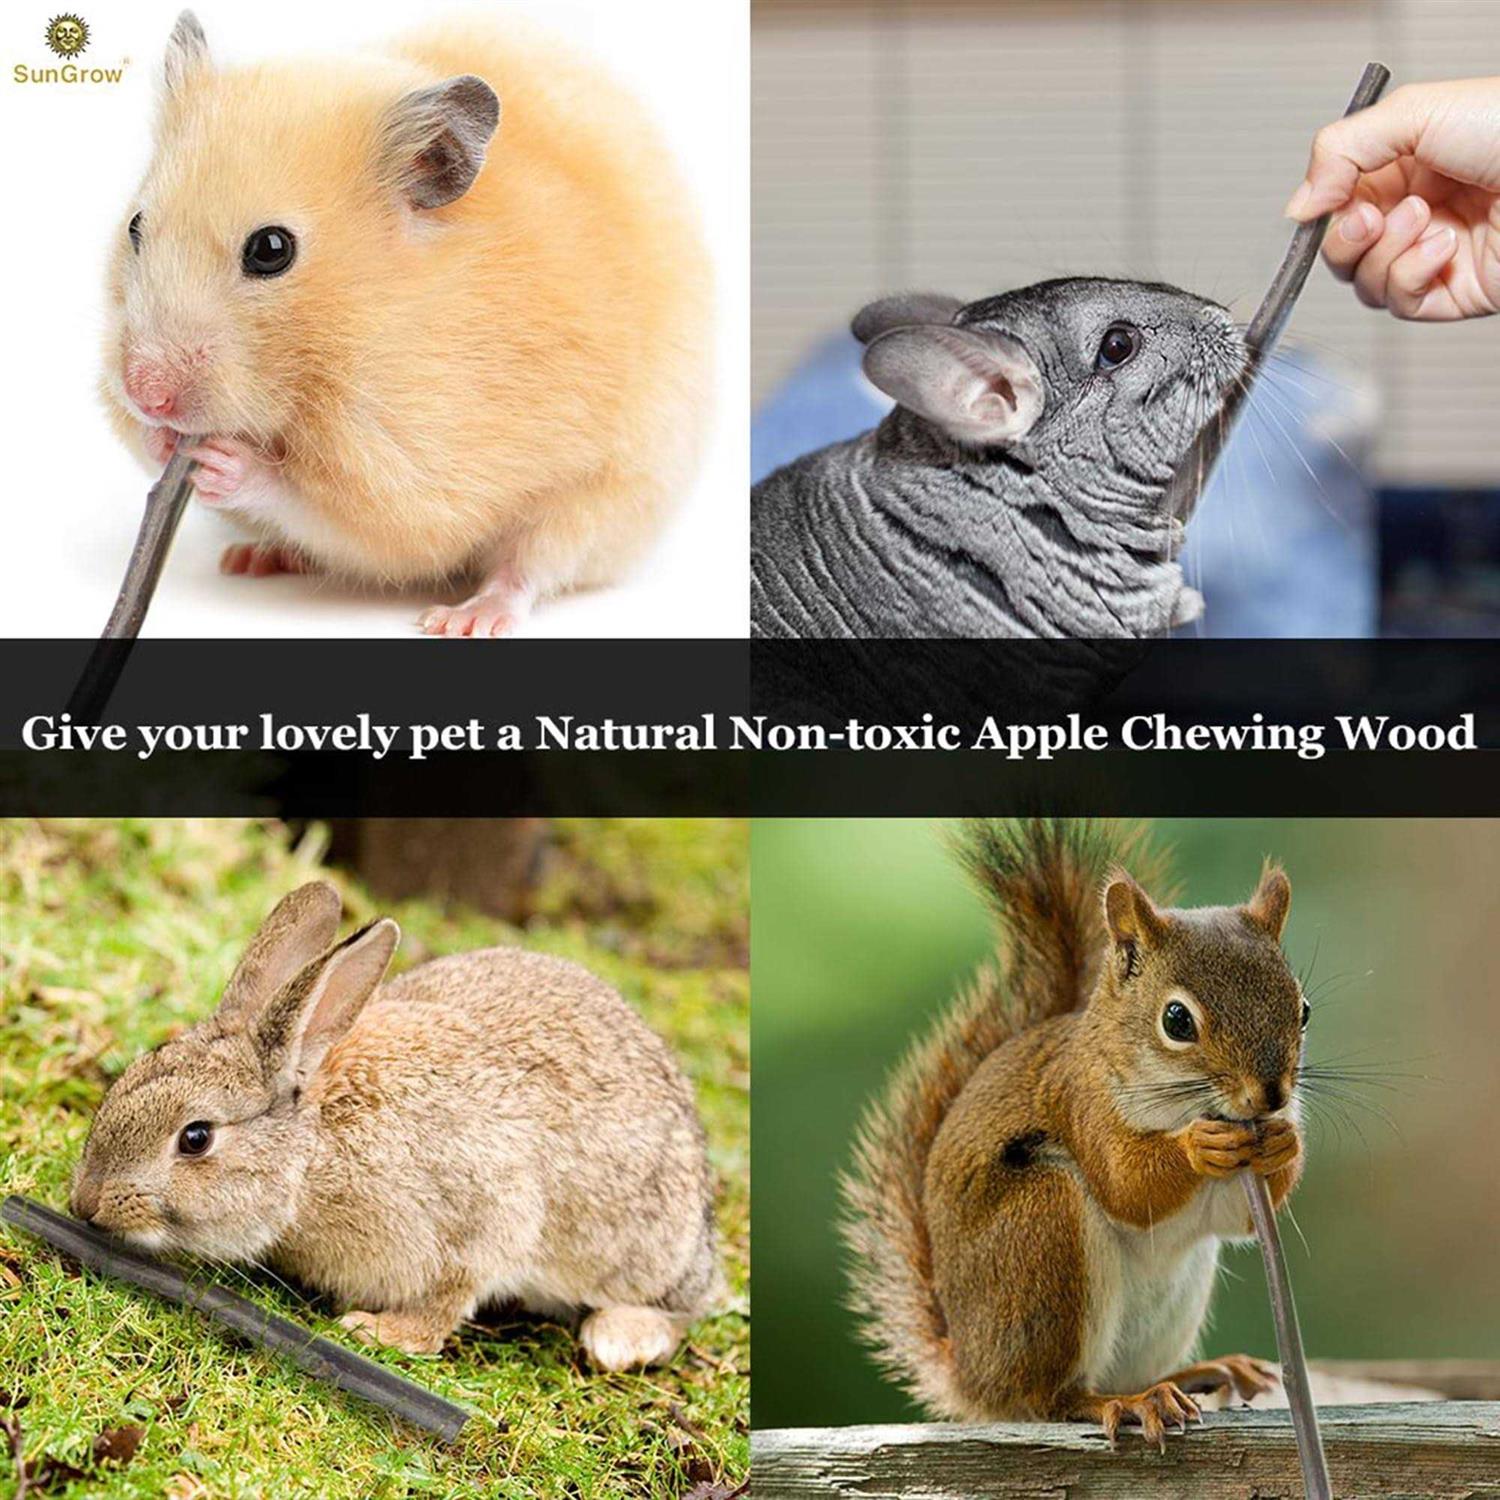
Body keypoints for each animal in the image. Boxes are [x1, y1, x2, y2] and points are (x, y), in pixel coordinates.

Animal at [69, 882, 722, 1369]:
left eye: (196, 1137)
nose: (86, 1203)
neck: (312, 1156)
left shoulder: (490, 1208)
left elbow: (452, 1295)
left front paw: (379, 1333)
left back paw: (618, 1338)